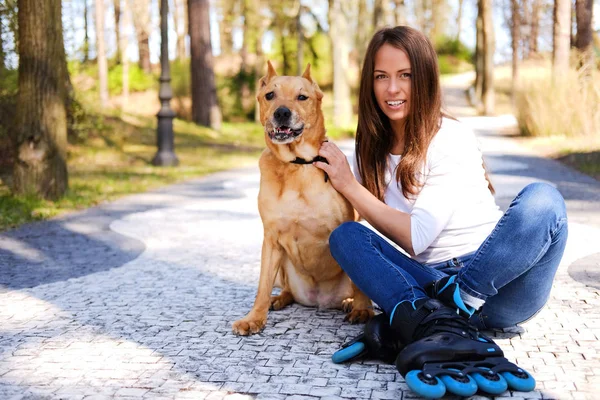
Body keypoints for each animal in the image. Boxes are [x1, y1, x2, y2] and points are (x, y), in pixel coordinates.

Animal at [231, 61, 376, 336]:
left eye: (302, 97)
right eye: (270, 95)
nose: (282, 112)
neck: (296, 165)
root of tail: (319, 300)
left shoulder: (344, 228)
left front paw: (363, 309)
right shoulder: (271, 239)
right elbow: (262, 286)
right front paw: (255, 318)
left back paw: (351, 302)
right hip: (283, 266)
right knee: (284, 288)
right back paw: (279, 298)